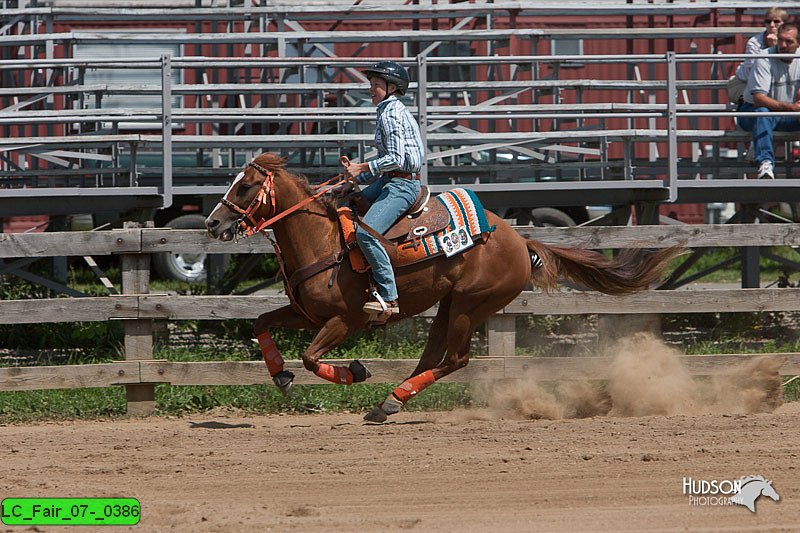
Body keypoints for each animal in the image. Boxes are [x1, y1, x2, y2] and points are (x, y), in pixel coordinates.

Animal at [203, 152, 680, 422]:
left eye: (245, 186)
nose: (212, 222)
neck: (323, 242)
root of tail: (519, 240)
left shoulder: (345, 320)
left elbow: (310, 358)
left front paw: (354, 371)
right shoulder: (305, 313)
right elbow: (262, 323)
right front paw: (280, 375)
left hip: (472, 305)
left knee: (456, 358)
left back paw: (390, 400)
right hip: (449, 305)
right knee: (433, 356)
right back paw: (388, 403)